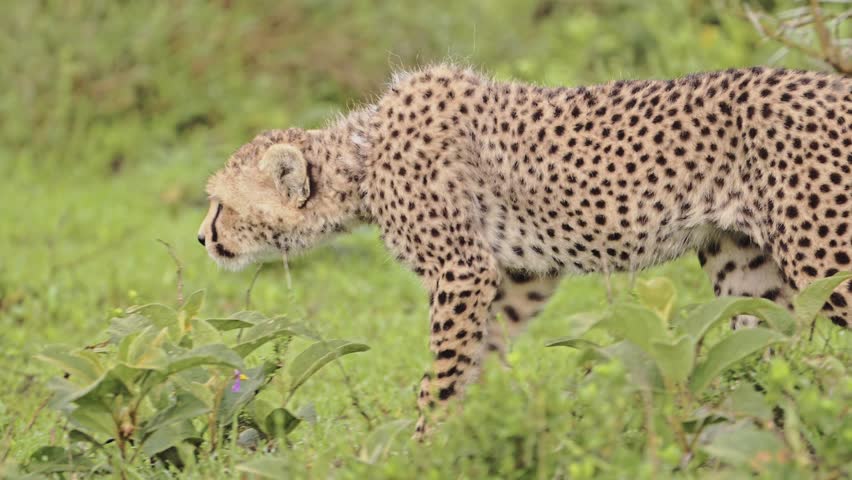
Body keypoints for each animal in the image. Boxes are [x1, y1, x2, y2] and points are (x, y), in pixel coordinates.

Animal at [198, 64, 851, 436]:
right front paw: (476, 427)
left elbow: (441, 373)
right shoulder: (520, 271)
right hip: (742, 262)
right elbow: (480, 352)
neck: (362, 157)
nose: (202, 237)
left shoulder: (461, 270)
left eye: (220, 204)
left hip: (825, 256)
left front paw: (426, 443)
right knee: (765, 351)